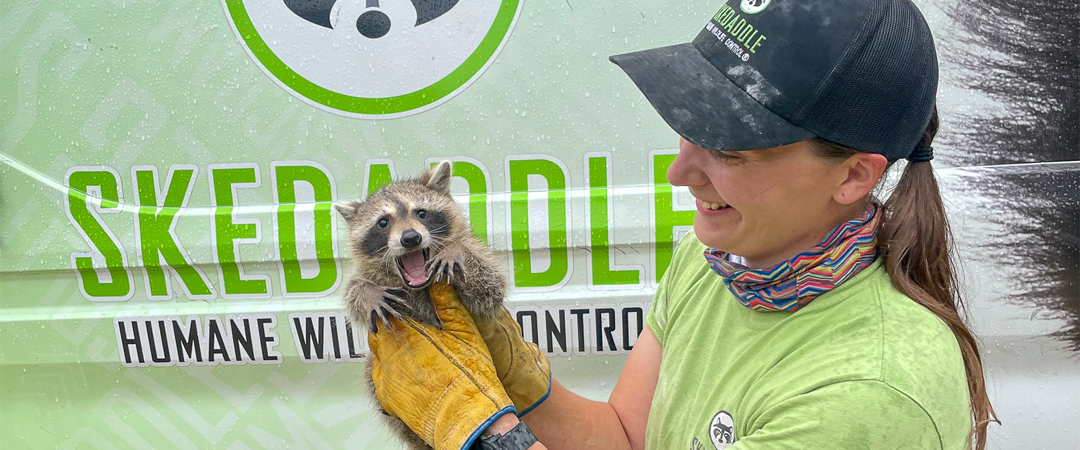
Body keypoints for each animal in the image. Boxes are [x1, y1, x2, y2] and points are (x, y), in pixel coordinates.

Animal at [334, 161, 507, 448]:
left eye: (422, 213)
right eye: (383, 222)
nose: (411, 238)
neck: (419, 286)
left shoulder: (481, 259)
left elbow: (492, 286)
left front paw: (455, 250)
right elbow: (352, 290)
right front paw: (368, 294)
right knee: (369, 370)